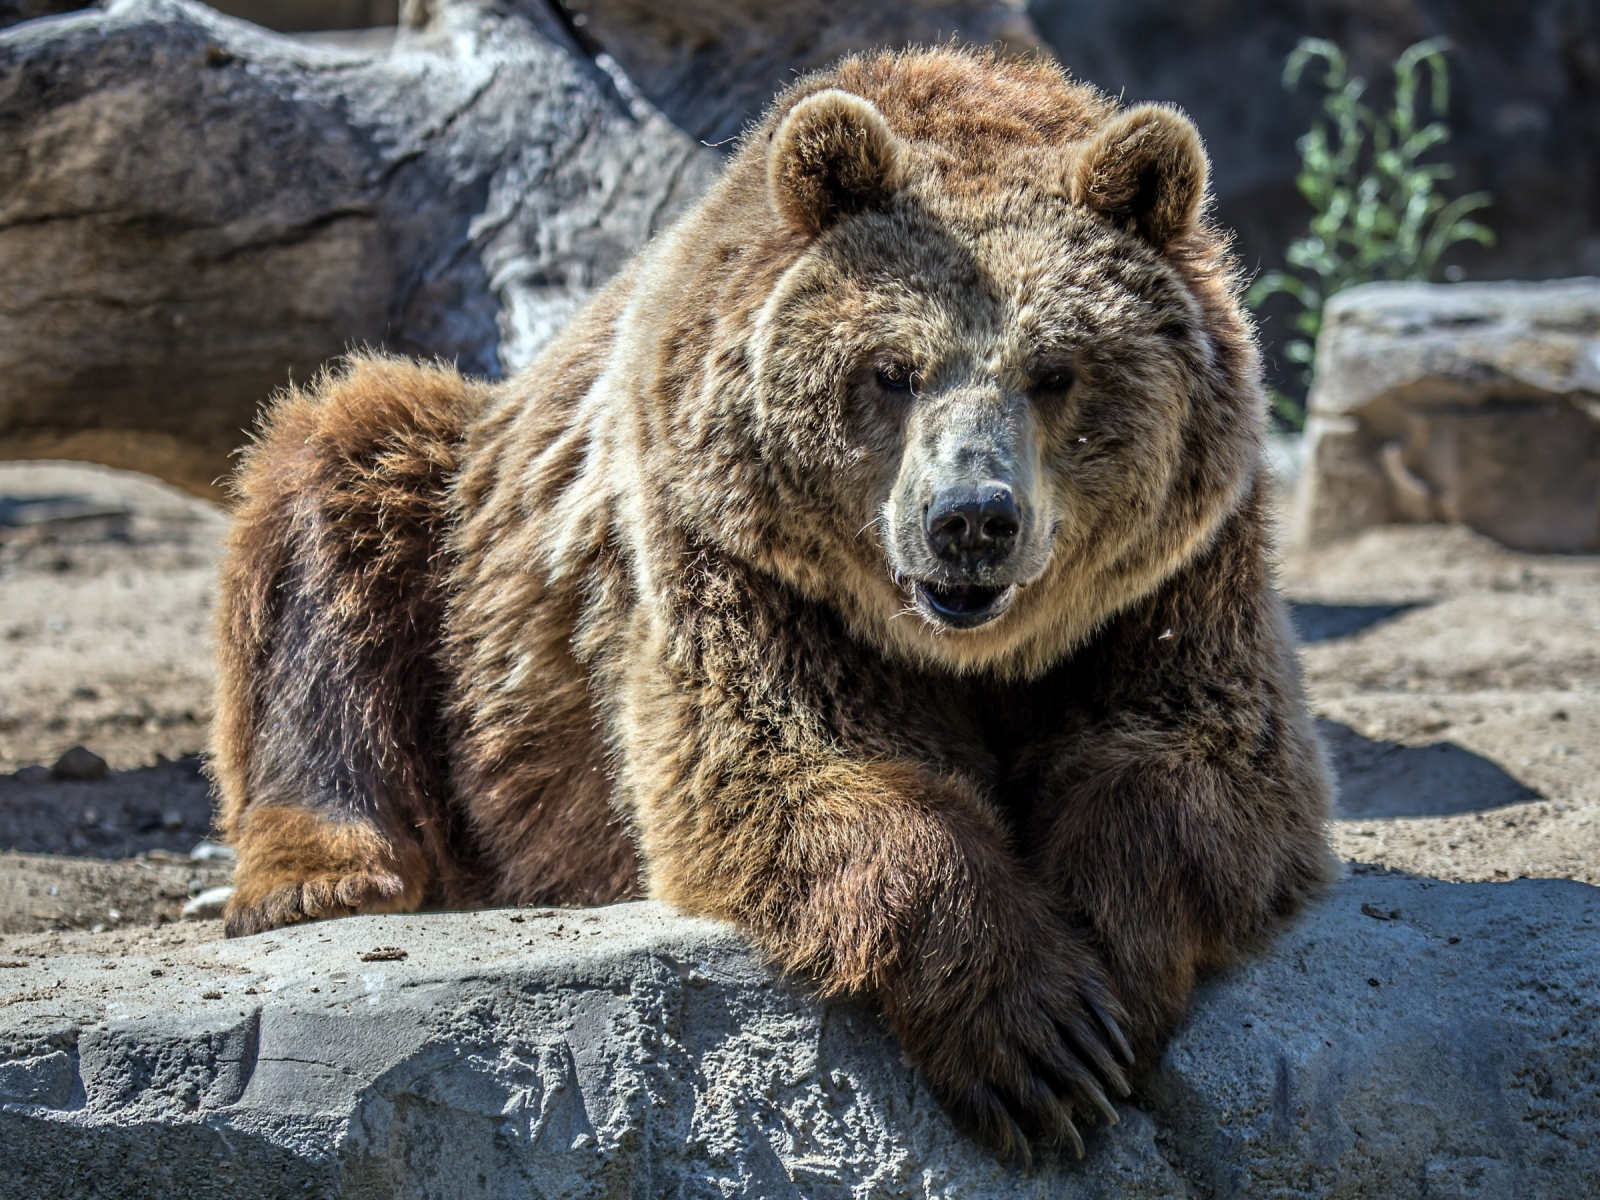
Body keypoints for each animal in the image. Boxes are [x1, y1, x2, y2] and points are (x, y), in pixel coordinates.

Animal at [216, 49, 1337, 1164]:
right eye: (892, 370)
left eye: (1053, 370)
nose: (971, 519)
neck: (969, 652)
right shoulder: (731, 558)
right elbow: (781, 767)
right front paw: (1037, 1036)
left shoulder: (1181, 576)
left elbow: (1196, 755)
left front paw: (1105, 966)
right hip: (460, 530)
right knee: (341, 478)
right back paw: (326, 873)